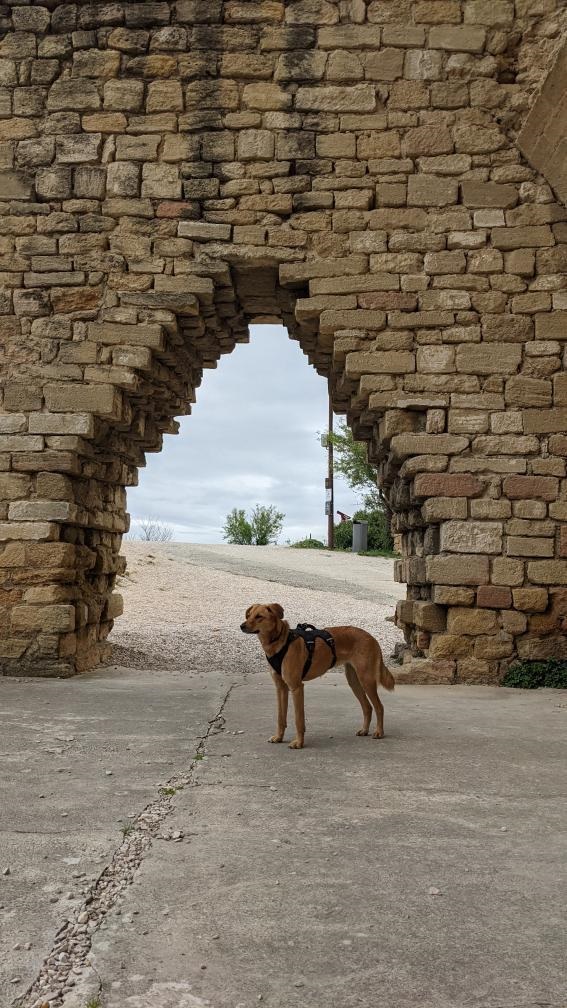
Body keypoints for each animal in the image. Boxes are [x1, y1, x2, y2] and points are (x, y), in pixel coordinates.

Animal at [238, 600, 393, 745]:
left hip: (366, 679)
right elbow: (281, 718)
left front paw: (299, 743)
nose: (242, 626)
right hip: (353, 681)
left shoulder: (296, 687)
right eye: (248, 615)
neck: (279, 642)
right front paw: (278, 737)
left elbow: (298, 719)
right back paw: (365, 730)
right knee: (367, 707)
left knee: (379, 707)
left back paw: (379, 732)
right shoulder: (281, 688)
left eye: (259, 616)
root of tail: (371, 637)